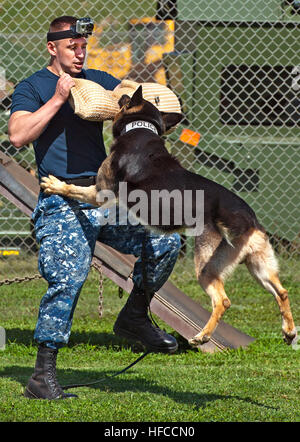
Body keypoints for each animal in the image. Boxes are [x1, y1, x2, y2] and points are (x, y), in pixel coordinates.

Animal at [41, 86, 296, 348]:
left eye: (126, 100)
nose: (120, 94)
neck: (141, 127)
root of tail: (247, 219)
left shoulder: (101, 192)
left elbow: (75, 189)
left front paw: (55, 185)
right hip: (258, 265)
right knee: (282, 292)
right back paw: (288, 332)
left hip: (206, 266)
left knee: (223, 300)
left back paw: (202, 336)